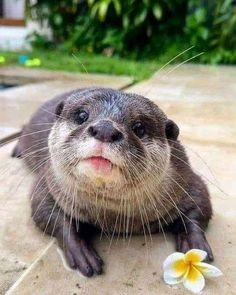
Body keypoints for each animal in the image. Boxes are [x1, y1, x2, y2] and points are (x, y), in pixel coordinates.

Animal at [12, 88, 213, 278]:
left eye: (139, 127)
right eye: (82, 116)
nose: (105, 129)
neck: (111, 215)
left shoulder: (186, 179)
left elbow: (199, 205)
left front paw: (195, 246)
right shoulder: (48, 181)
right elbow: (47, 211)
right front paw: (81, 252)